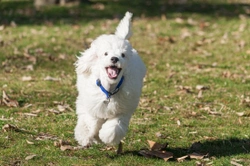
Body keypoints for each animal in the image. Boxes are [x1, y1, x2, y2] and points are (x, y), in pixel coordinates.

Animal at [74, 11, 146, 151]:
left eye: (123, 55)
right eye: (106, 54)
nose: (114, 58)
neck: (110, 90)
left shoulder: (122, 110)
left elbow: (114, 126)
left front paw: (105, 136)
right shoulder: (93, 105)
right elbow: (90, 122)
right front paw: (87, 137)